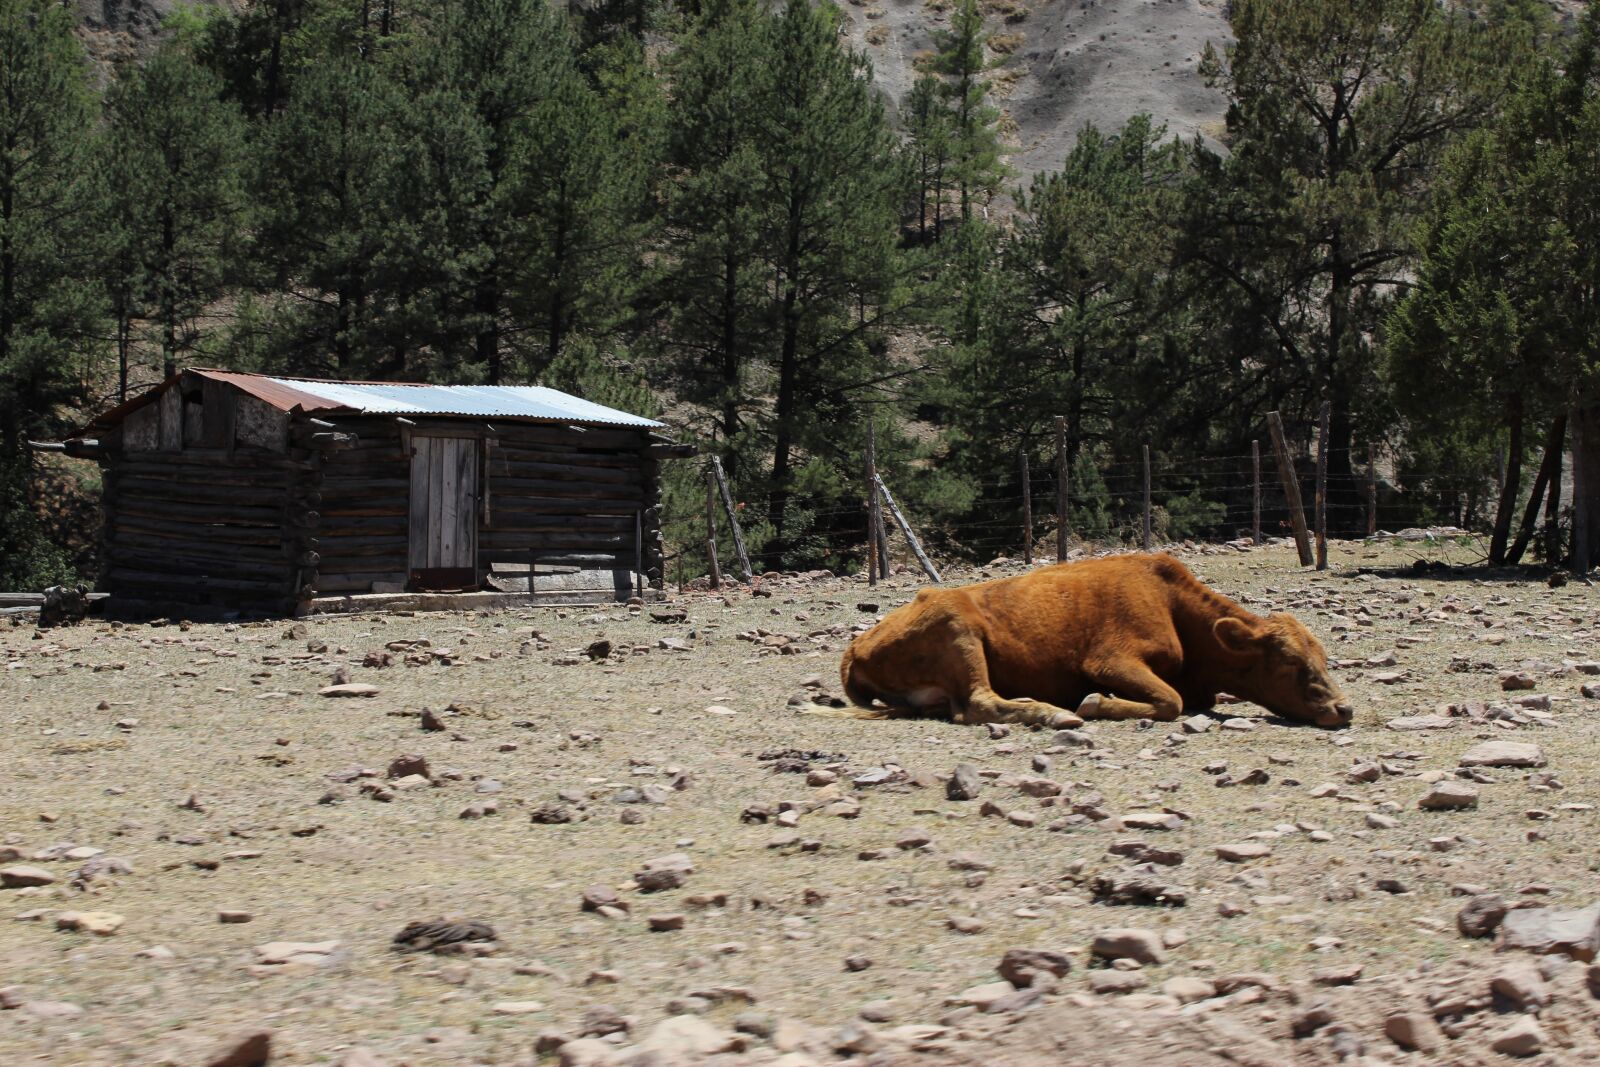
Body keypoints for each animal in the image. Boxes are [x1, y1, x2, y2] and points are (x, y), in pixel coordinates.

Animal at [838, 556, 1350, 729]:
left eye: (1324, 657)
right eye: (1290, 662)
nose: (1343, 709)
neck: (1173, 603)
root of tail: (855, 647)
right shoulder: (1111, 660)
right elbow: (1170, 701)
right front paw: (1094, 703)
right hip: (959, 629)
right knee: (979, 703)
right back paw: (1054, 713)